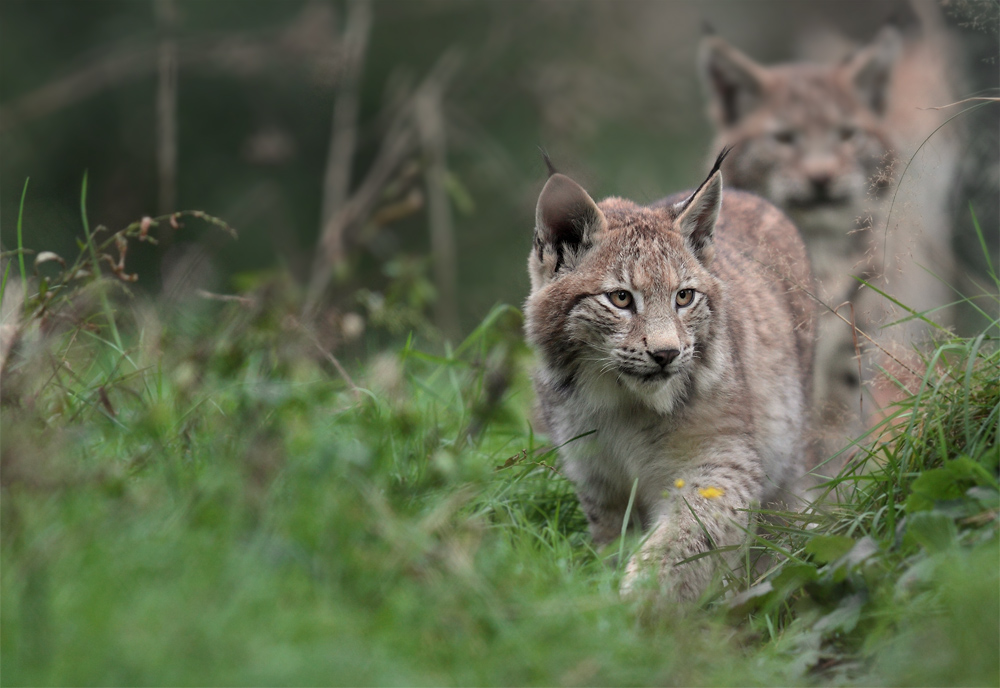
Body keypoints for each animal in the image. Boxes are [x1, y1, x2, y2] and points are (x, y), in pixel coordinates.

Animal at [524, 153, 812, 600]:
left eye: (684, 297)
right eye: (620, 298)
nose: (667, 354)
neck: (620, 403)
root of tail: (751, 196)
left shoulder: (719, 461)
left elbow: (686, 540)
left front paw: (637, 599)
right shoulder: (595, 478)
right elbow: (618, 544)